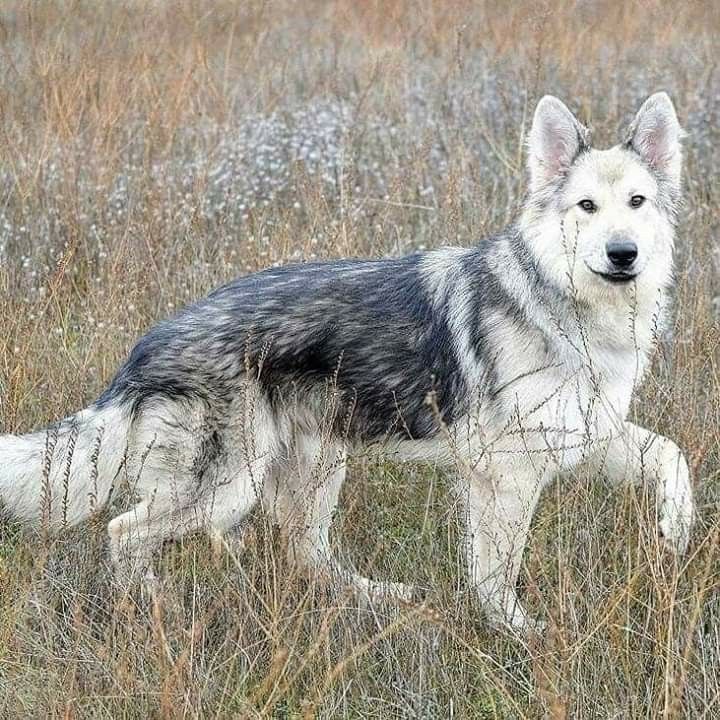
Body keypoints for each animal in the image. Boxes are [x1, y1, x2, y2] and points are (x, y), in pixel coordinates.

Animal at [0, 91, 696, 632]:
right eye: (586, 207)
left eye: (637, 203)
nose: (623, 254)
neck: (573, 311)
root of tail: (146, 346)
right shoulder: (506, 476)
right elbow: (496, 574)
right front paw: (520, 636)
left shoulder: (587, 437)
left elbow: (673, 456)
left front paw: (676, 532)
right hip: (231, 487)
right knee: (124, 533)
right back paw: (158, 609)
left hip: (315, 467)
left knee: (303, 554)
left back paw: (380, 598)